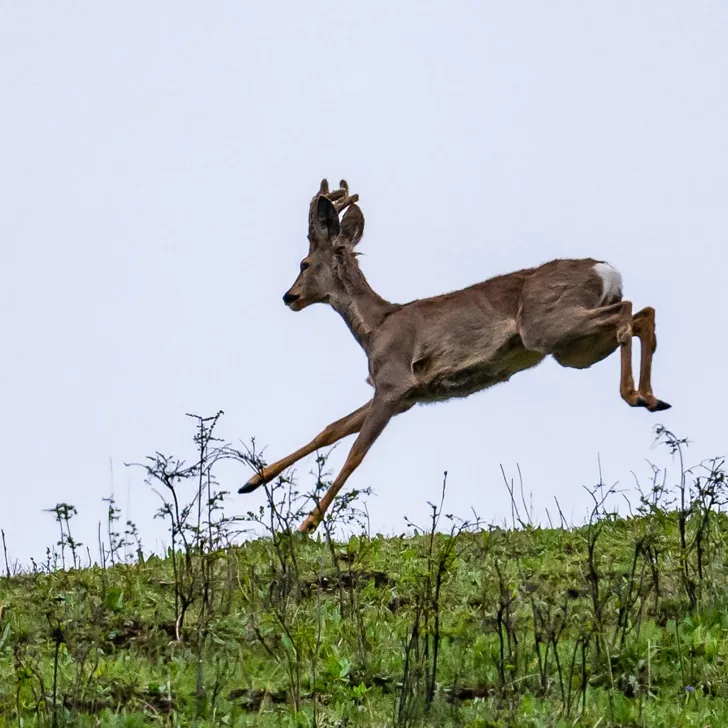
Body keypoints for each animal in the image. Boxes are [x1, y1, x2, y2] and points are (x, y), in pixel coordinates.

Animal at [239, 179, 671, 534]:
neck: (376, 327)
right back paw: (652, 398)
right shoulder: (404, 396)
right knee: (643, 313)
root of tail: (606, 270)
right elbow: (329, 430)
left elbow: (354, 453)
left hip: (546, 326)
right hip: (574, 349)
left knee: (628, 311)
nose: (289, 296)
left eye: (304, 263)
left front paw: (306, 525)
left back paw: (635, 395)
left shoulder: (395, 382)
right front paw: (251, 481)